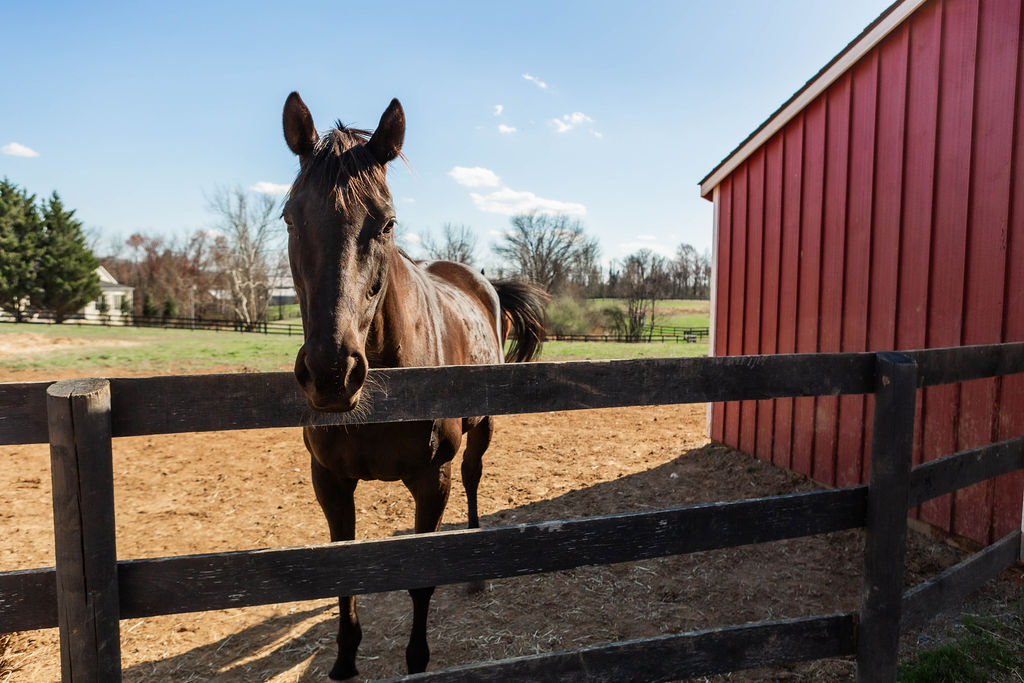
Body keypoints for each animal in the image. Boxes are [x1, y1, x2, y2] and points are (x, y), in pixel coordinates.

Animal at [281, 92, 546, 679]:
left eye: (385, 223)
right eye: (289, 217)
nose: (332, 373)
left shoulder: (431, 480)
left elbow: (421, 581)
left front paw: (418, 660)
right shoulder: (329, 480)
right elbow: (344, 575)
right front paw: (344, 661)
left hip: (480, 430)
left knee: (473, 478)